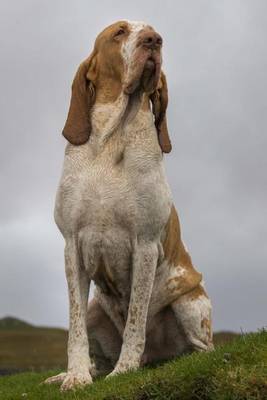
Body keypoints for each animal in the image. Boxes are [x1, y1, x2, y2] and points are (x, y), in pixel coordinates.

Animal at [45, 19, 215, 390]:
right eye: (119, 33)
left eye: (152, 32)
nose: (154, 40)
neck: (112, 141)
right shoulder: (71, 246)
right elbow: (74, 325)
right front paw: (75, 375)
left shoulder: (145, 245)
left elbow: (136, 319)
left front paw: (124, 369)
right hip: (97, 310)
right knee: (97, 349)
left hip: (189, 301)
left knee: (202, 349)